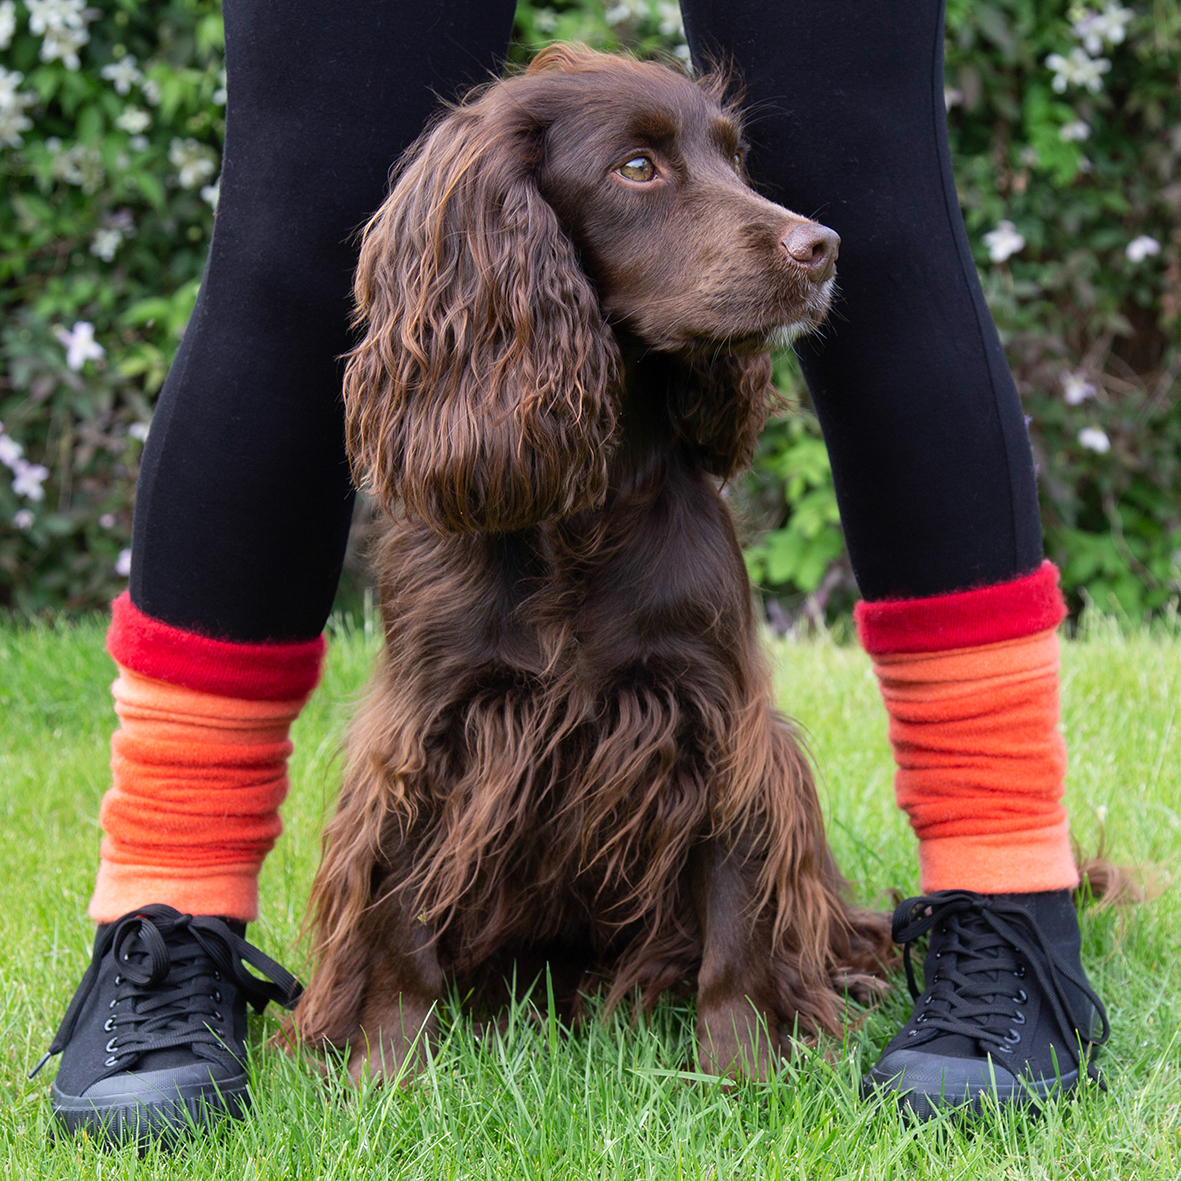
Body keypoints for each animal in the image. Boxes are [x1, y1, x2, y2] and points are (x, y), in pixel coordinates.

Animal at [290, 43, 888, 1081]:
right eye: (636, 168)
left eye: (734, 158)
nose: (821, 247)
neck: (582, 509)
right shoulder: (429, 730)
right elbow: (401, 922)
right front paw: (388, 1073)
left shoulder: (716, 717)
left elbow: (736, 920)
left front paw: (745, 1072)